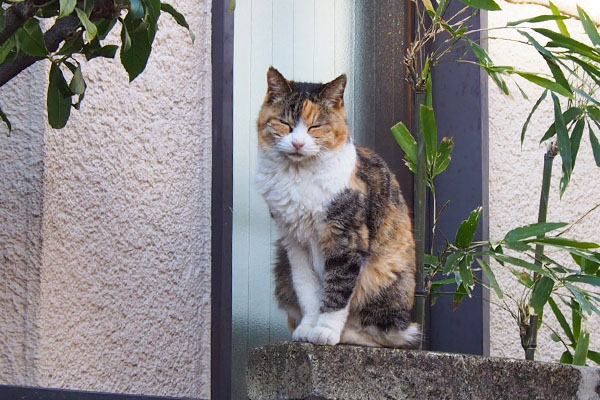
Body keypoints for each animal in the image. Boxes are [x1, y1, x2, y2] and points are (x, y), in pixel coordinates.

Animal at [253, 66, 418, 346]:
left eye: (315, 126)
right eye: (285, 124)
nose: (297, 143)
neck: (298, 177)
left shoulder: (346, 237)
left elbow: (338, 289)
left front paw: (325, 331)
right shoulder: (295, 244)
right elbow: (308, 291)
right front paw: (308, 328)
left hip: (382, 277)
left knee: (389, 334)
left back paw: (347, 334)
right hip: (282, 267)